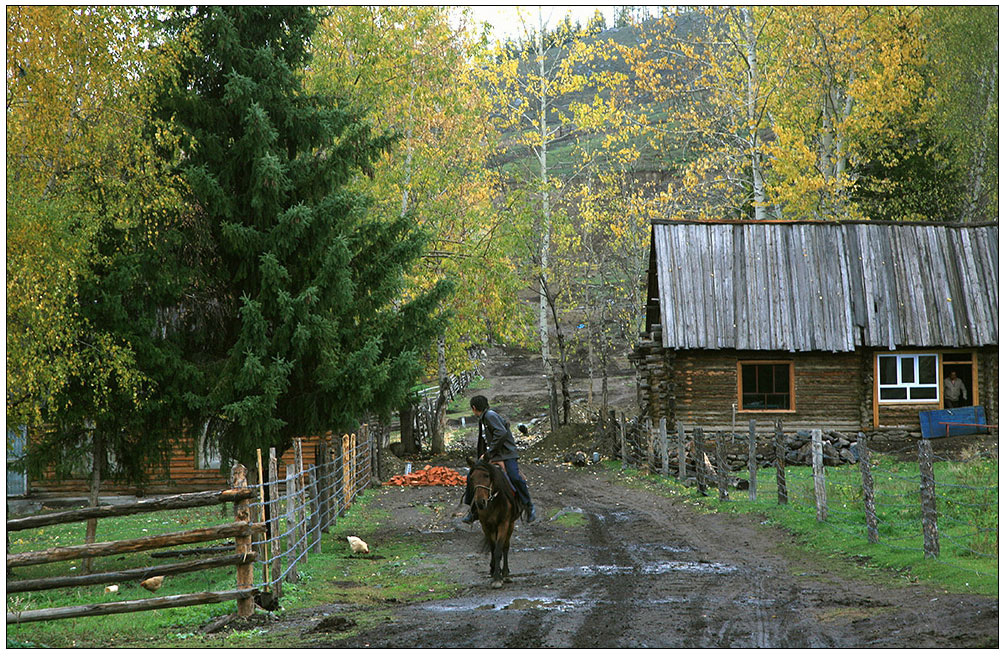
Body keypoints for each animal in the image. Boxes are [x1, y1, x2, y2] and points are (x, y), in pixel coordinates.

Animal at [466, 456, 523, 587]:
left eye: (487, 475)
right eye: (471, 478)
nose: (480, 502)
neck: (494, 501)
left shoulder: (504, 524)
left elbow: (498, 549)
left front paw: (498, 578)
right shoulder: (486, 525)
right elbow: (493, 548)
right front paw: (494, 572)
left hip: (510, 524)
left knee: (505, 547)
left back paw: (505, 573)